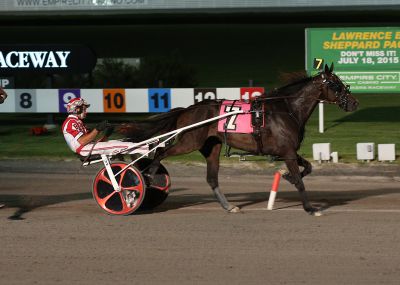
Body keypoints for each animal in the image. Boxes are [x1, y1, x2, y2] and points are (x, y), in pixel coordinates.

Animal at [119, 65, 360, 215]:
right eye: (336, 85)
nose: (354, 103)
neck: (287, 109)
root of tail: (188, 109)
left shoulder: (288, 150)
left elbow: (308, 167)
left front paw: (287, 176)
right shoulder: (288, 152)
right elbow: (301, 182)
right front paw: (310, 208)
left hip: (212, 147)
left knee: (212, 178)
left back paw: (229, 206)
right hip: (189, 142)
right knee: (161, 152)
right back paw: (148, 175)